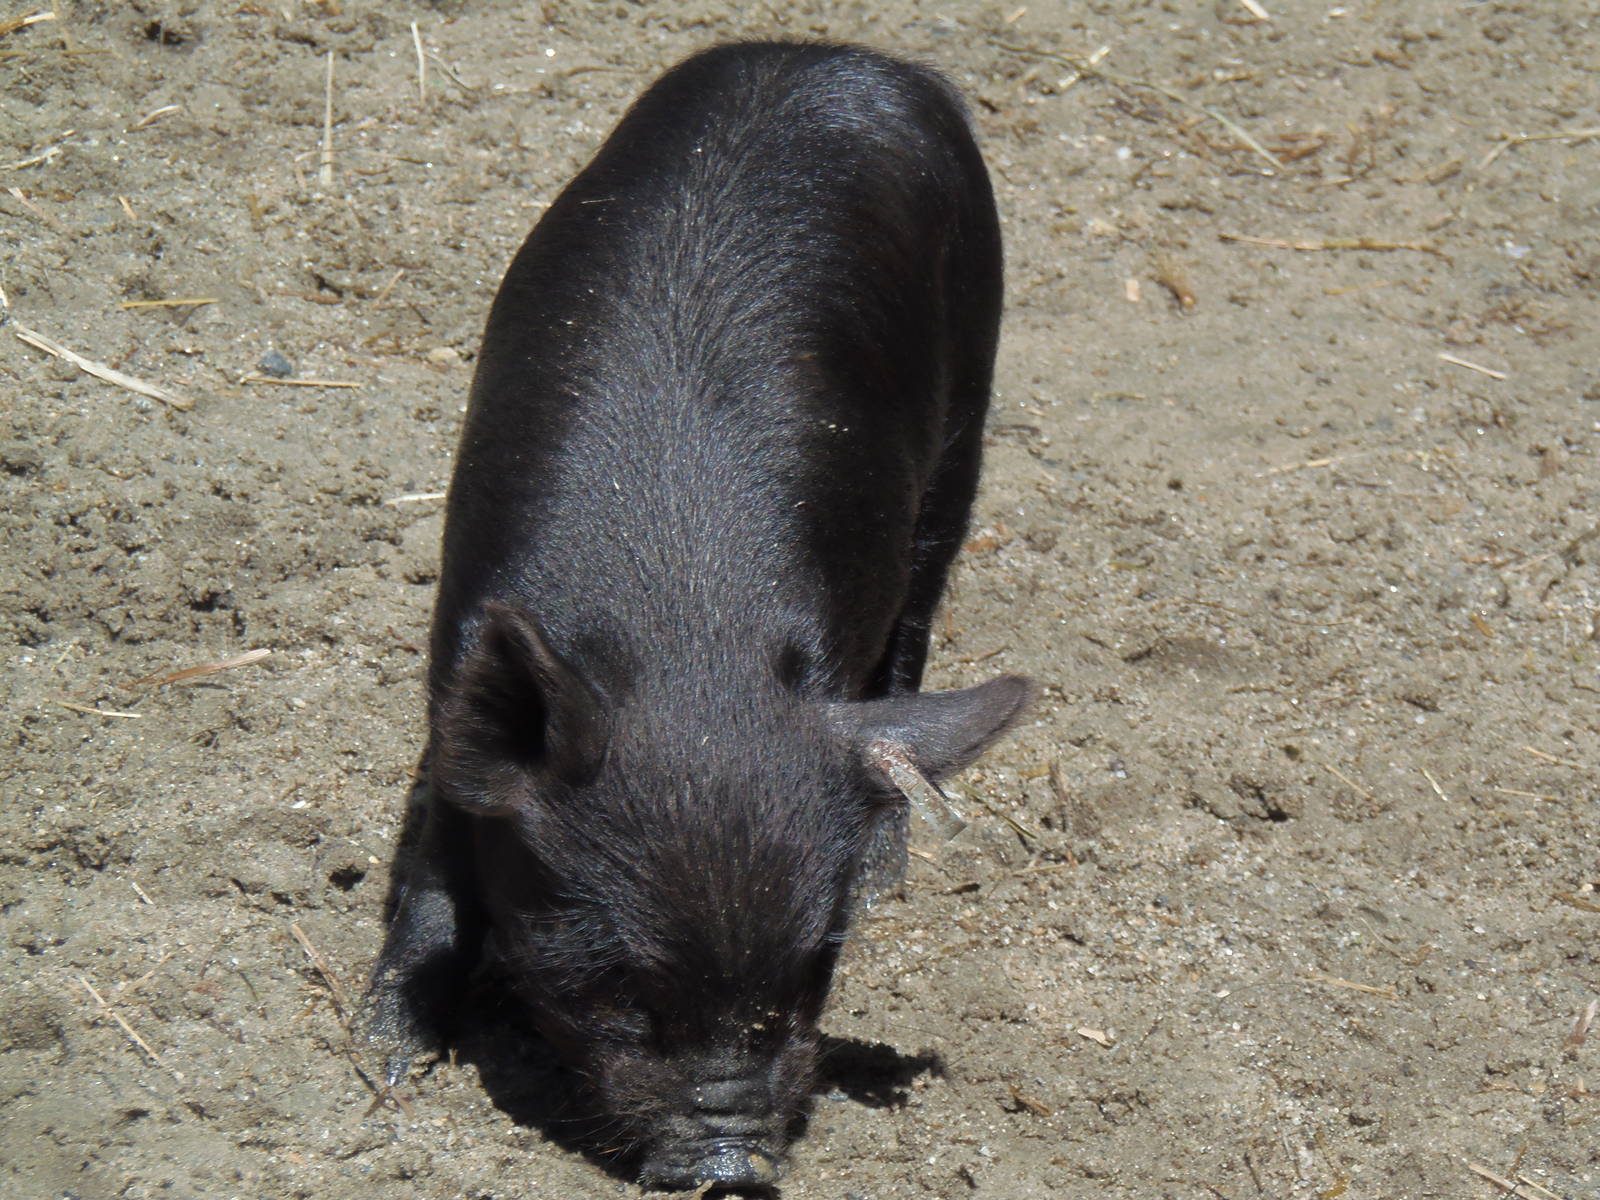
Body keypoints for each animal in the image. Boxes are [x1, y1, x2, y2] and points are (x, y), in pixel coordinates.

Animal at [361, 41, 1030, 1191]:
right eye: (622, 986)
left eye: (815, 973)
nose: (731, 1166)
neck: (685, 641)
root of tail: (860, 58)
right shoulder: (458, 668)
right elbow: (440, 861)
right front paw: (387, 1061)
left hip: (969, 397)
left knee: (918, 618)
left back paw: (890, 862)